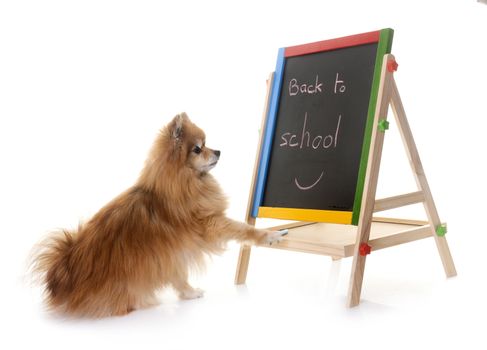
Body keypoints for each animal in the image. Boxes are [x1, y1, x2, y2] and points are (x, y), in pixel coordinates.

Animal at [30, 113, 282, 318]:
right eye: (198, 148)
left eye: (206, 144)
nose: (218, 151)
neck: (184, 182)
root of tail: (63, 271)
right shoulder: (208, 223)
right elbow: (242, 229)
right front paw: (267, 235)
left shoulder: (173, 253)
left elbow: (179, 276)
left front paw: (189, 293)